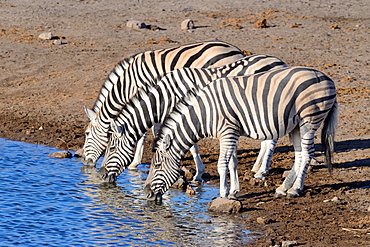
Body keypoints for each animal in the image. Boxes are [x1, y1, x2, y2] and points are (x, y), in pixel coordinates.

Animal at [82, 41, 247, 168]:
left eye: (87, 134)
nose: (85, 161)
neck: (129, 83)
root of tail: (238, 51)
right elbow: (155, 129)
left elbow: (144, 132)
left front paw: (135, 162)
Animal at [98, 55, 286, 182]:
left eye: (111, 147)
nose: (102, 175)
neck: (166, 96)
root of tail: (280, 61)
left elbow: (190, 146)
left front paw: (198, 173)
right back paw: (256, 167)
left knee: (271, 139)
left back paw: (261, 171)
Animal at [144, 66, 338, 201]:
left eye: (157, 166)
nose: (146, 193)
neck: (205, 113)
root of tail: (328, 79)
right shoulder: (232, 134)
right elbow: (233, 163)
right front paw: (234, 192)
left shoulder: (228, 132)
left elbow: (222, 164)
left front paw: (223, 193)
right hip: (297, 125)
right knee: (299, 155)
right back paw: (284, 188)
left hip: (309, 120)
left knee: (307, 155)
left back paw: (295, 189)